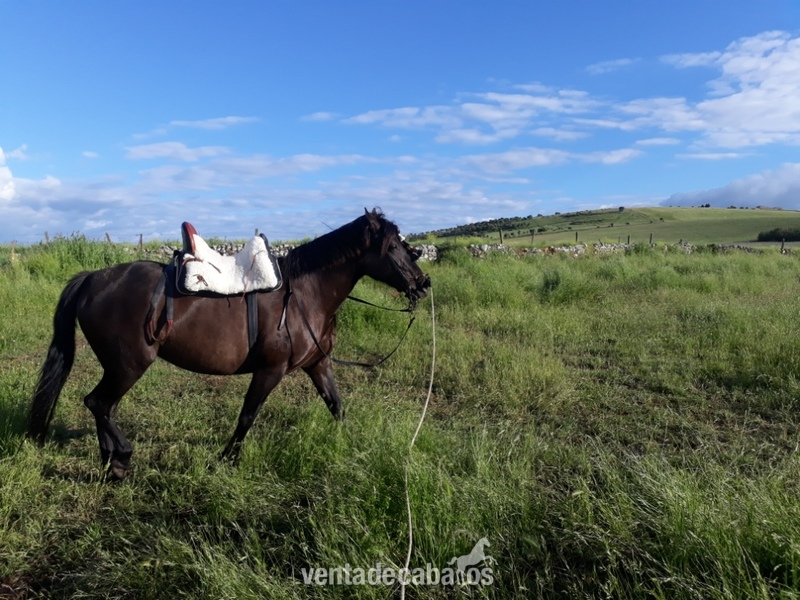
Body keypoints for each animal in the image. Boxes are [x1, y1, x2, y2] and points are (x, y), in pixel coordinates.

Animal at [27, 209, 431, 480]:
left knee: (104, 406)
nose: (423, 283)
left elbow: (336, 406)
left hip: (118, 367)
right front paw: (227, 459)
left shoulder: (318, 364)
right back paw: (122, 457)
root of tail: (94, 278)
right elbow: (248, 415)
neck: (304, 293)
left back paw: (112, 464)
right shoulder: (270, 370)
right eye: (394, 246)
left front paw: (353, 444)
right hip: (129, 365)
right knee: (98, 403)